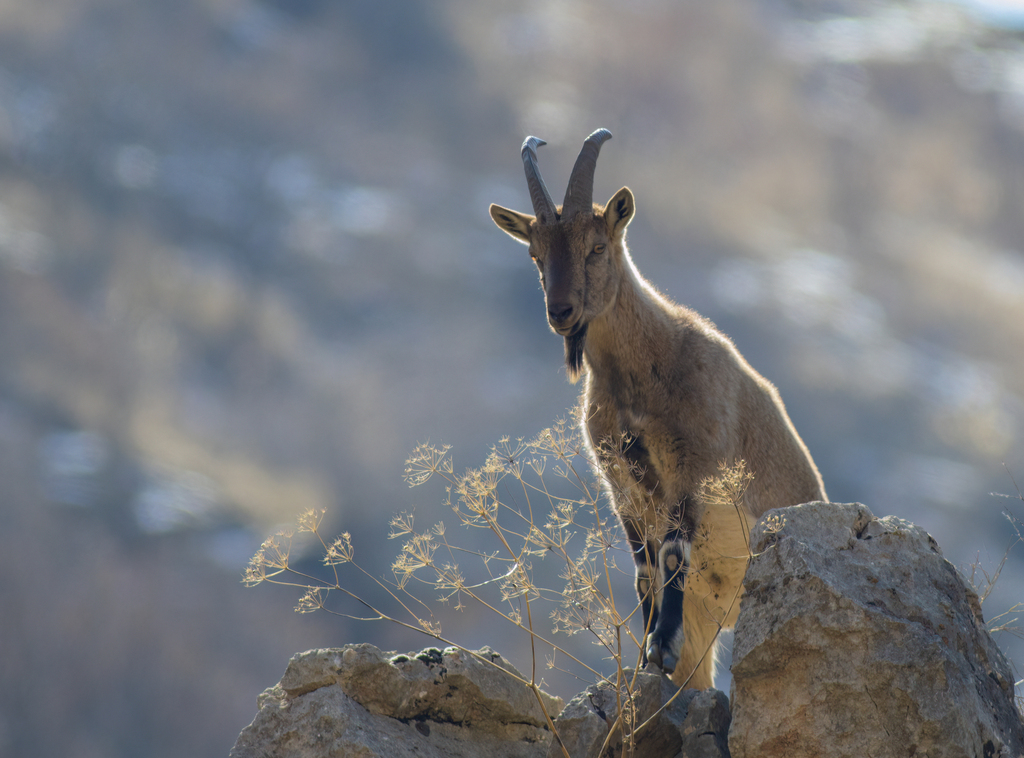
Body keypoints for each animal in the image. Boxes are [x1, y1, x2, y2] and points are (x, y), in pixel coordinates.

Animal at [489, 128, 828, 690]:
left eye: (597, 246)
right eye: (536, 255)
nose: (561, 312)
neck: (646, 368)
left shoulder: (694, 467)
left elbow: (670, 555)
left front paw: (660, 646)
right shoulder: (622, 484)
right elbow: (645, 570)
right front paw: (649, 655)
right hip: (706, 621)